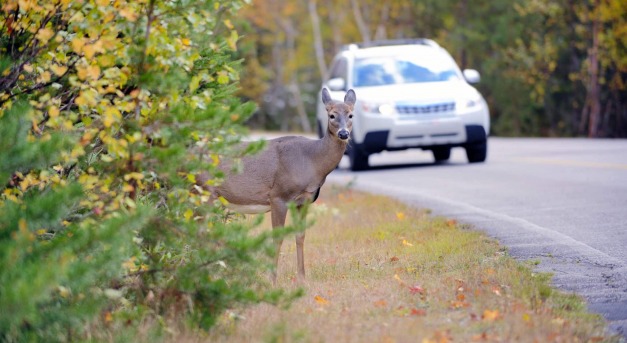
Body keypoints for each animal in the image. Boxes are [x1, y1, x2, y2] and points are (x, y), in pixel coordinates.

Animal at [206, 88, 354, 284]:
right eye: (331, 115)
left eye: (351, 115)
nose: (344, 134)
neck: (312, 161)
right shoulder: (278, 196)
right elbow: (278, 238)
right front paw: (272, 280)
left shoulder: (304, 200)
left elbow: (300, 235)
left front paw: (302, 278)